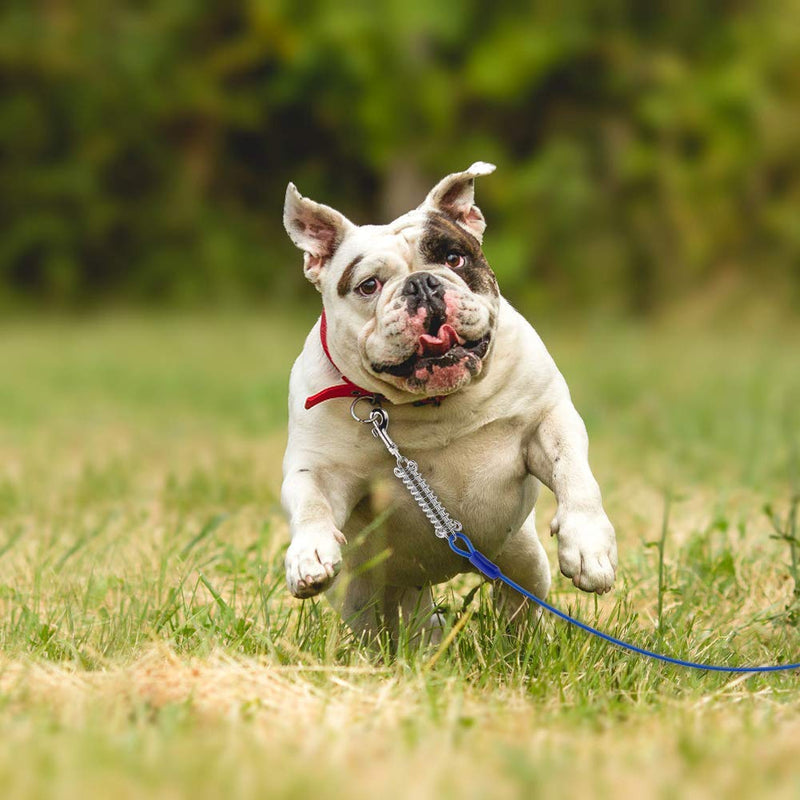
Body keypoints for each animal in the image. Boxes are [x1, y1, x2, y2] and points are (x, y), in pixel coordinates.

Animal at [282, 162, 620, 644]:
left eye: (454, 259)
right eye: (369, 285)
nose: (422, 284)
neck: (435, 405)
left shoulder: (548, 421)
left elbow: (574, 474)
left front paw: (588, 544)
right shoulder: (321, 470)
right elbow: (312, 502)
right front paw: (308, 553)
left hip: (522, 559)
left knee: (517, 603)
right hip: (365, 592)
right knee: (377, 621)